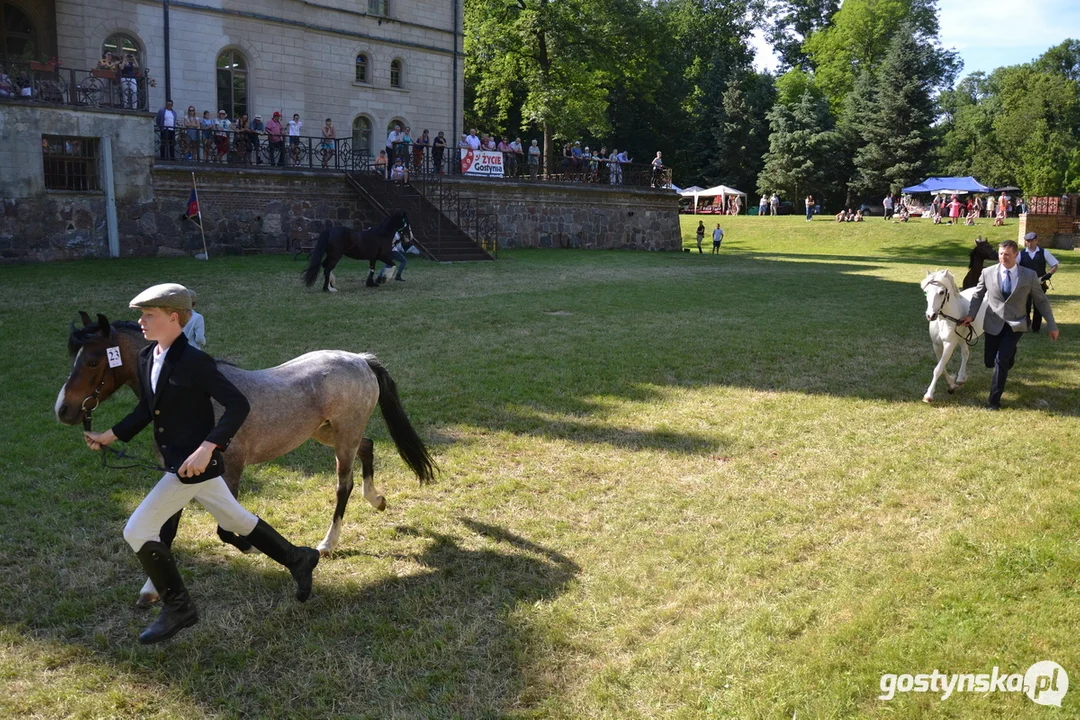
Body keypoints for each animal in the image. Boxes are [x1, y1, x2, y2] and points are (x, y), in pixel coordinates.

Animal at [55, 313, 434, 604]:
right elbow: (167, 530)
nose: (64, 410)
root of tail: (359, 359)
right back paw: (378, 500)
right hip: (327, 432)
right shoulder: (179, 475)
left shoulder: (229, 471)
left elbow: (226, 529)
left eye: (92, 360)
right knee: (368, 447)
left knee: (344, 484)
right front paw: (151, 591)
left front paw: (252, 547)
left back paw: (328, 542)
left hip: (343, 435)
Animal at [920, 272, 989, 405]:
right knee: (965, 354)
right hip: (962, 338)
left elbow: (938, 369)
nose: (931, 315)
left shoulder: (949, 344)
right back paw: (960, 379)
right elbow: (942, 368)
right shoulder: (937, 345)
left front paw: (928, 395)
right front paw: (951, 386)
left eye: (942, 292)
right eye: (926, 292)